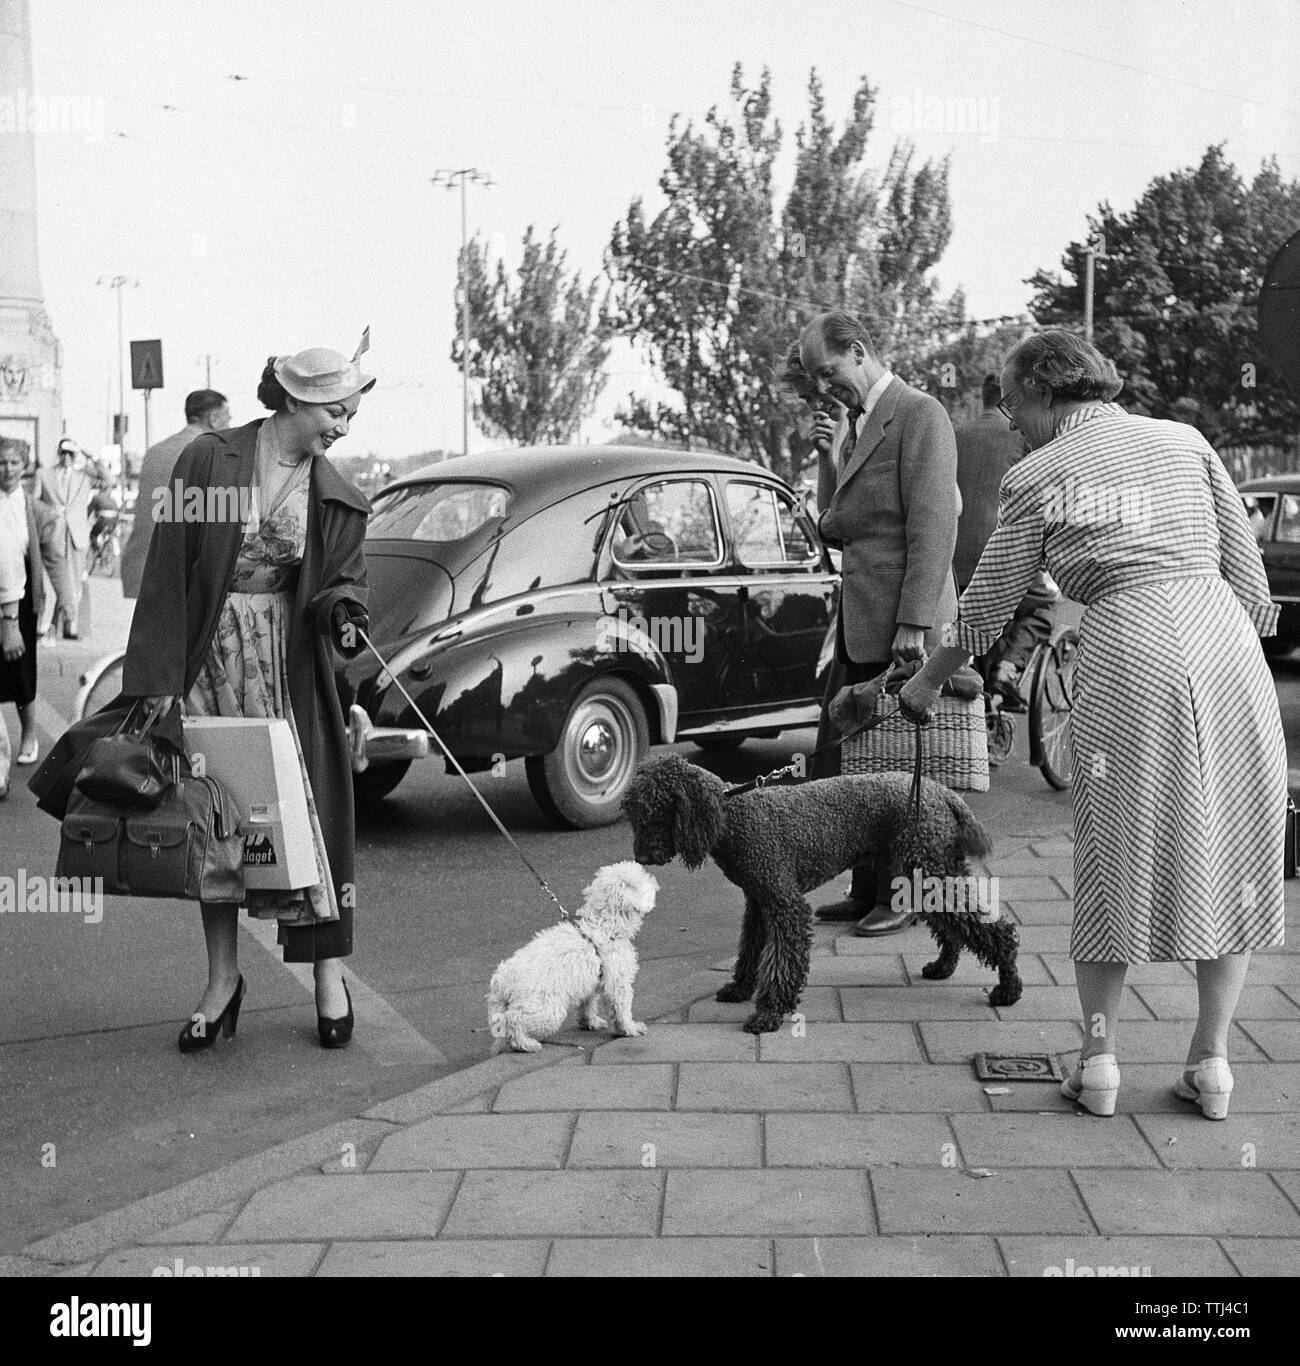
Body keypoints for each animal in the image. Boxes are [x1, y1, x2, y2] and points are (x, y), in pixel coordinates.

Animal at [486, 863, 660, 1054]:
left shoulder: (590, 983)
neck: (604, 926)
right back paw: (527, 1044)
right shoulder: (617, 981)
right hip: (545, 1008)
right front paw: (630, 1029)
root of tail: (502, 981)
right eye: (642, 877)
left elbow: (587, 1005)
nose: (655, 883)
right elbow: (621, 1008)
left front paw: (590, 1023)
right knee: (513, 1020)